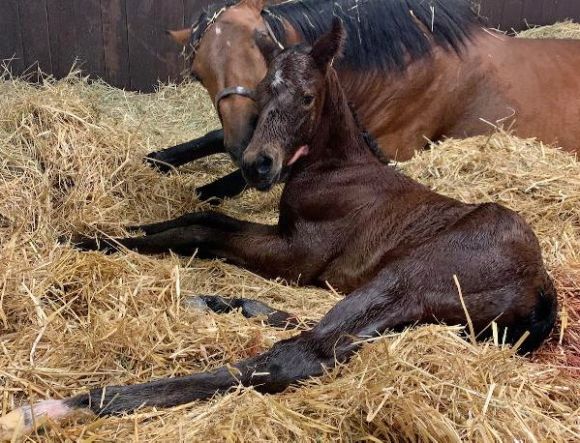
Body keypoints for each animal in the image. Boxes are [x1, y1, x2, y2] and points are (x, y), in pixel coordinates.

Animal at [2, 21, 560, 440]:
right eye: (261, 90)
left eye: (308, 96)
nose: (257, 164)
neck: (337, 169)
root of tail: (541, 287)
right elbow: (201, 218)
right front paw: (90, 233)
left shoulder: (296, 254)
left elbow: (202, 230)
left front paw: (89, 237)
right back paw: (217, 303)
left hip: (408, 278)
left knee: (298, 354)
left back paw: (52, 408)